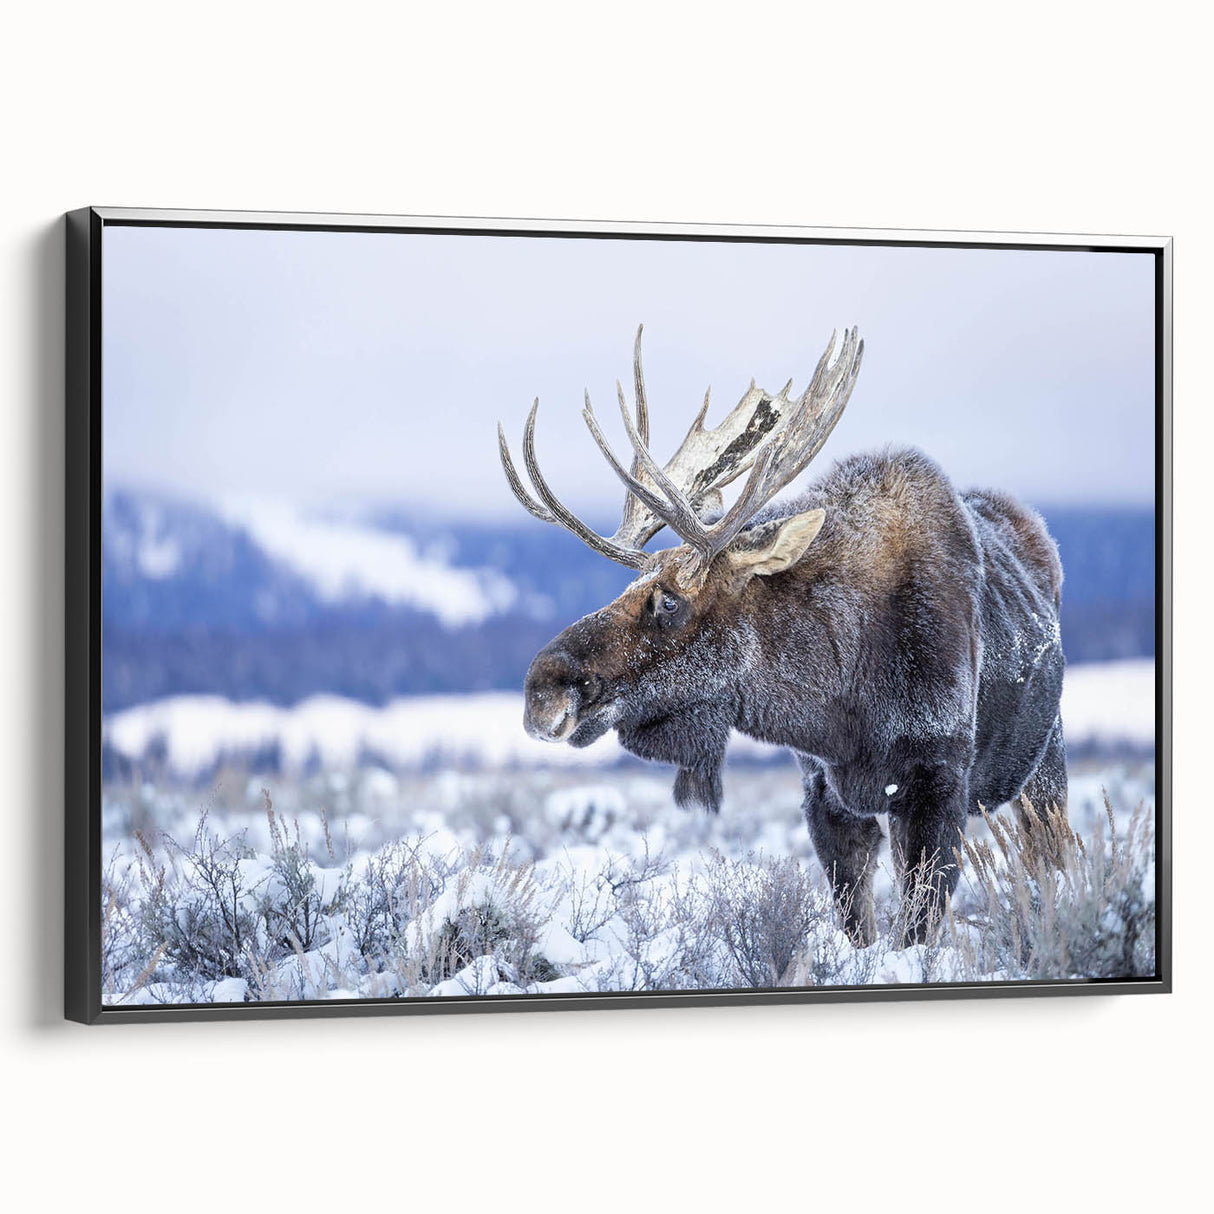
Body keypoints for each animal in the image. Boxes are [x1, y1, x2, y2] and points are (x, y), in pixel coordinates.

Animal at [498, 327, 1066, 946]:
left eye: (669, 599)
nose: (540, 690)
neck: (841, 704)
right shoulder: (823, 793)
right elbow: (857, 925)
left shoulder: (937, 784)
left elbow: (918, 929)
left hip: (1046, 763)